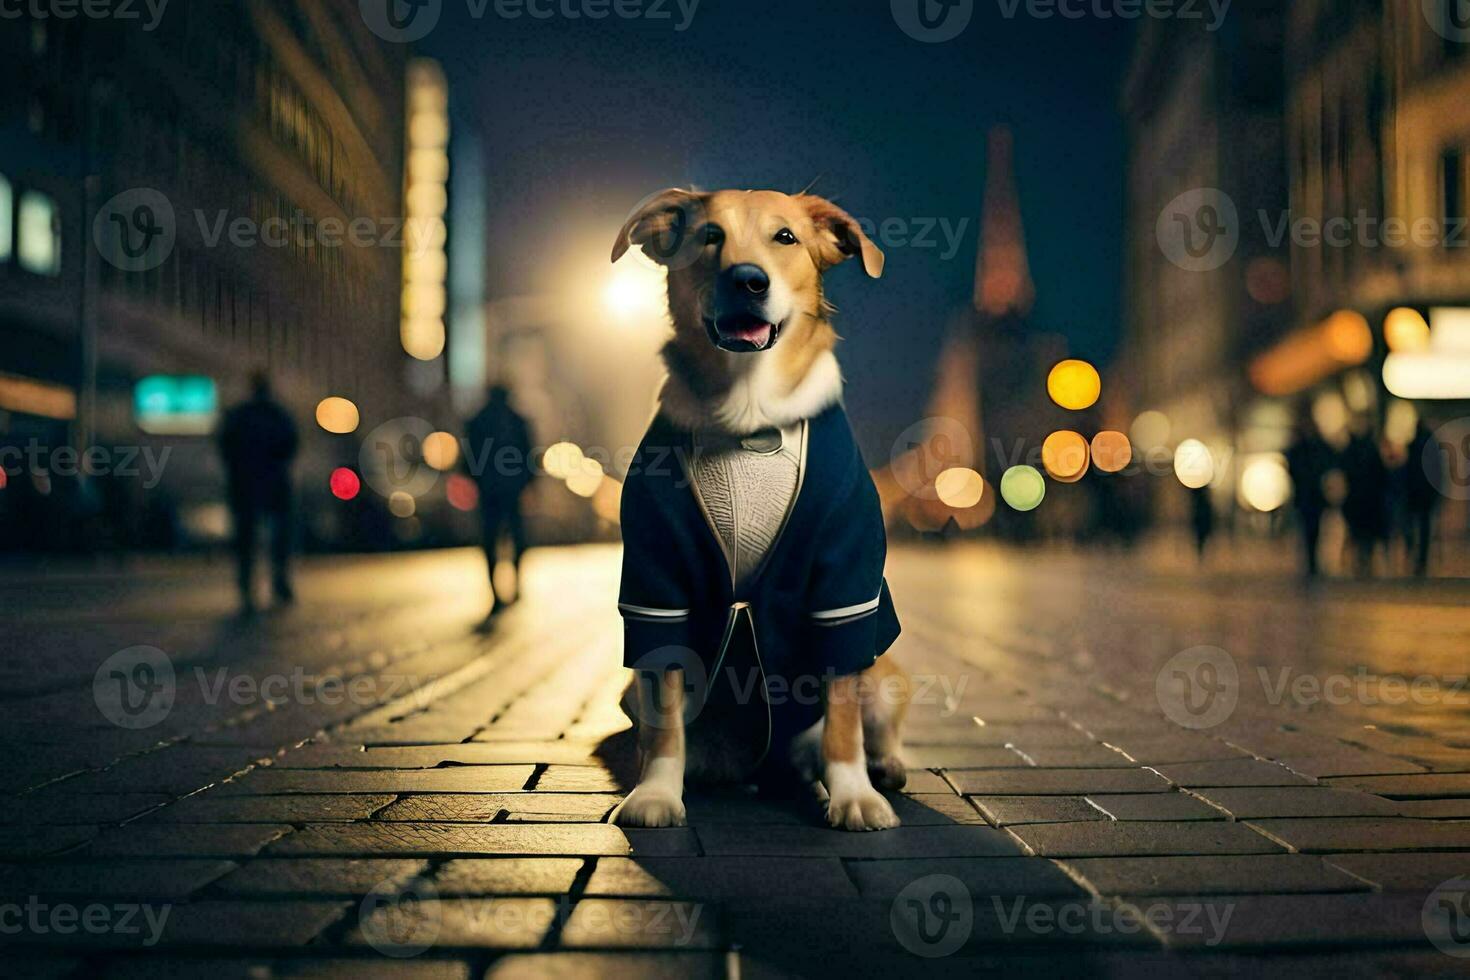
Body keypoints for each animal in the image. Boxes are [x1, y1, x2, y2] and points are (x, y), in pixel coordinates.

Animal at [605, 188, 905, 834]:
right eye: (710, 236)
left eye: (785, 237)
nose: (747, 280)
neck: (748, 421)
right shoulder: (657, 586)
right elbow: (664, 718)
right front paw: (656, 793)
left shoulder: (843, 589)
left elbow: (842, 716)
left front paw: (853, 794)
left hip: (887, 671)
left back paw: (877, 768)